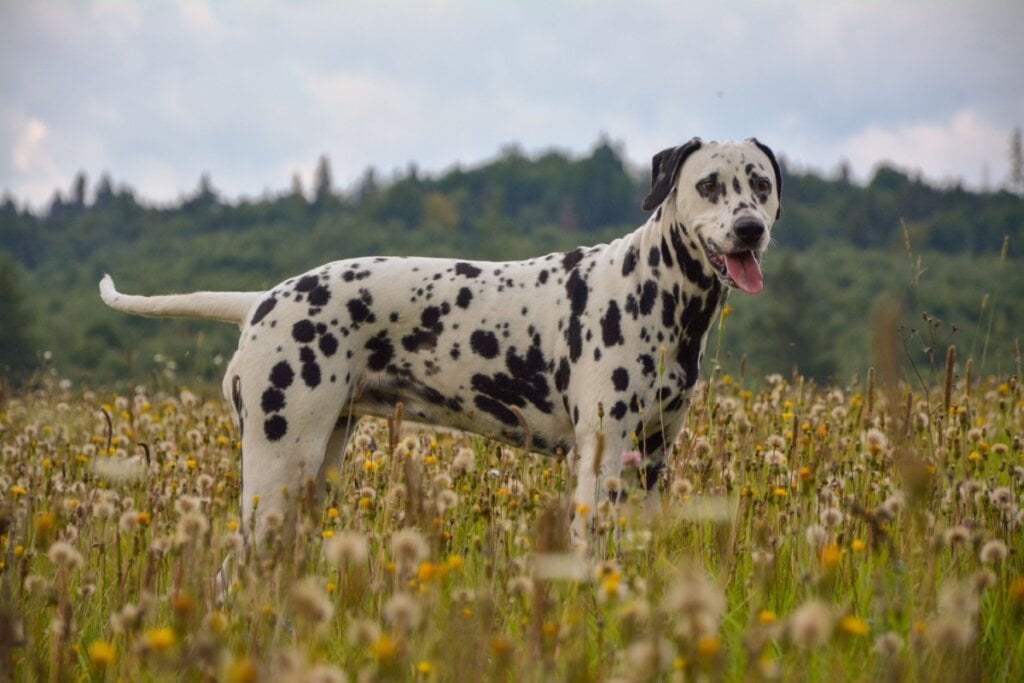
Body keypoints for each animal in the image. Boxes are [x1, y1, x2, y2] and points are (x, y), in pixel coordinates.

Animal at [99, 139, 778, 548]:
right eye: (709, 185)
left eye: (761, 183)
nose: (750, 227)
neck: (659, 294)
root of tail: (261, 301)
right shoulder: (602, 457)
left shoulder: (652, 460)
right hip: (276, 469)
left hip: (314, 470)